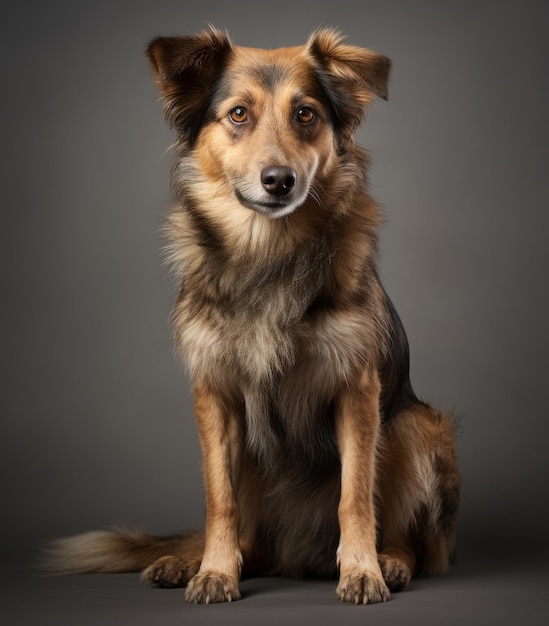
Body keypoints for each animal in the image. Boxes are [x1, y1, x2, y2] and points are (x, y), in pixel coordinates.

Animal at [45, 28, 460, 604]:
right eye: (238, 113)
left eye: (306, 114)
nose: (279, 180)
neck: (268, 254)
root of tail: (297, 555)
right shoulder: (214, 392)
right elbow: (220, 500)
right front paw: (215, 572)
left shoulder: (357, 388)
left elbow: (356, 496)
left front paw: (362, 570)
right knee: (250, 537)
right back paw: (191, 561)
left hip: (418, 427)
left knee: (413, 537)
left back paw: (391, 562)